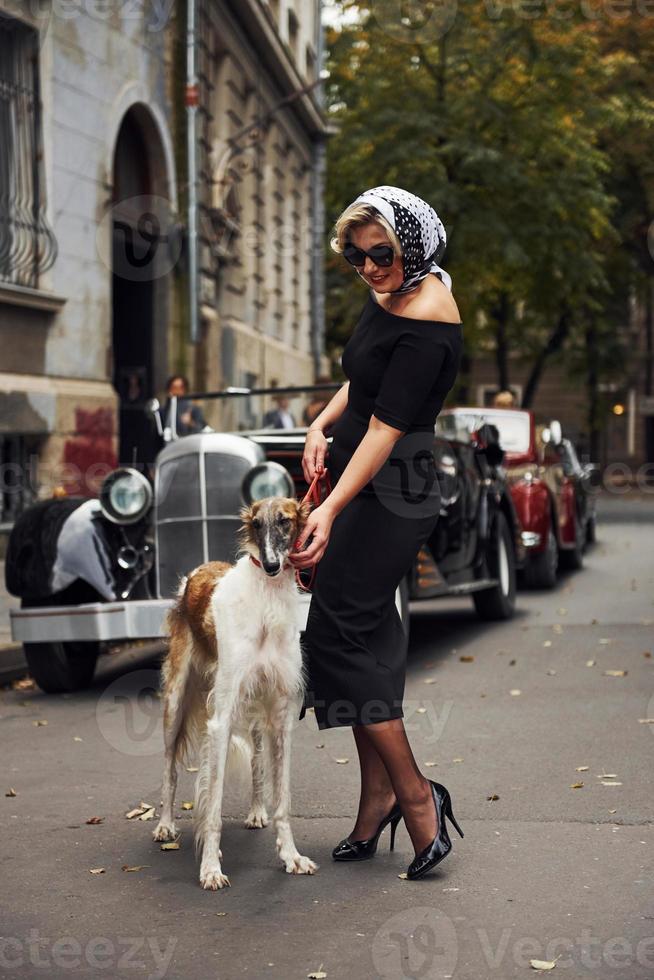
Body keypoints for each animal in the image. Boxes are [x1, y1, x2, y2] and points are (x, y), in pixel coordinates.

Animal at [154, 498, 318, 888]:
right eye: (256, 524)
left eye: (285, 521)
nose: (272, 565)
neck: (266, 601)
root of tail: (197, 571)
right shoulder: (222, 718)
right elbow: (212, 808)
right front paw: (211, 869)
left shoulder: (281, 716)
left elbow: (282, 799)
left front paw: (291, 856)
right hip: (176, 701)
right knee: (169, 768)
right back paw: (165, 825)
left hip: (256, 708)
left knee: (257, 762)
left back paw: (256, 810)